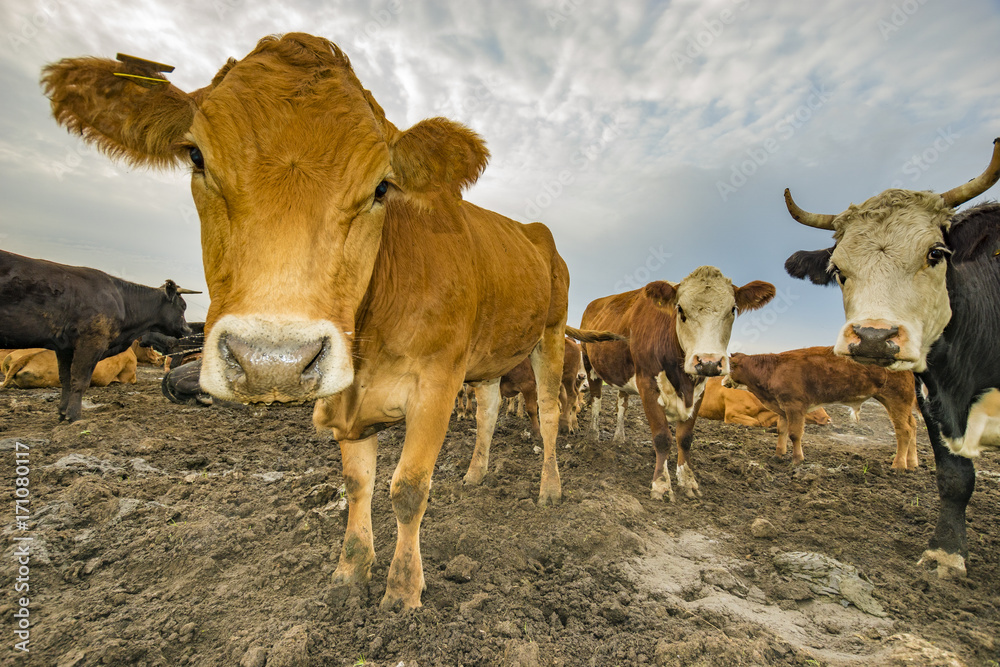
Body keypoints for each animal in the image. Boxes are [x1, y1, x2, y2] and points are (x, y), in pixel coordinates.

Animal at [43, 33, 618, 609]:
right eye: (197, 157)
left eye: (382, 187)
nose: (272, 362)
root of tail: (534, 230)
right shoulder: (348, 396)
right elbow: (358, 484)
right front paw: (350, 574)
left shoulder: (436, 383)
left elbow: (408, 489)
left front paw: (402, 590)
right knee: (491, 409)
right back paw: (476, 474)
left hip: (550, 333)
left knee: (548, 412)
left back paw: (550, 489)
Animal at [580, 267, 775, 501]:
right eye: (680, 309)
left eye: (733, 309)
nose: (709, 361)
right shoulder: (647, 384)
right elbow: (662, 437)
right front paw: (661, 484)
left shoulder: (699, 390)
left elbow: (685, 438)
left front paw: (688, 480)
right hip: (589, 364)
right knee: (596, 400)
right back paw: (593, 436)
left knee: (621, 404)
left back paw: (619, 438)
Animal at [725, 347, 917, 468]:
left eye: (730, 366)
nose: (722, 381)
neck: (773, 370)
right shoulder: (782, 408)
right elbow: (782, 431)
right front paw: (778, 455)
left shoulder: (795, 406)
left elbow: (794, 434)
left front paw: (797, 459)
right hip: (903, 405)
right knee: (913, 426)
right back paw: (912, 463)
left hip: (896, 401)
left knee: (904, 431)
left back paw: (898, 465)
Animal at [783, 137, 1000, 577]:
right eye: (838, 269)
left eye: (936, 253)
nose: (873, 337)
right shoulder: (936, 400)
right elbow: (954, 475)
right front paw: (945, 552)